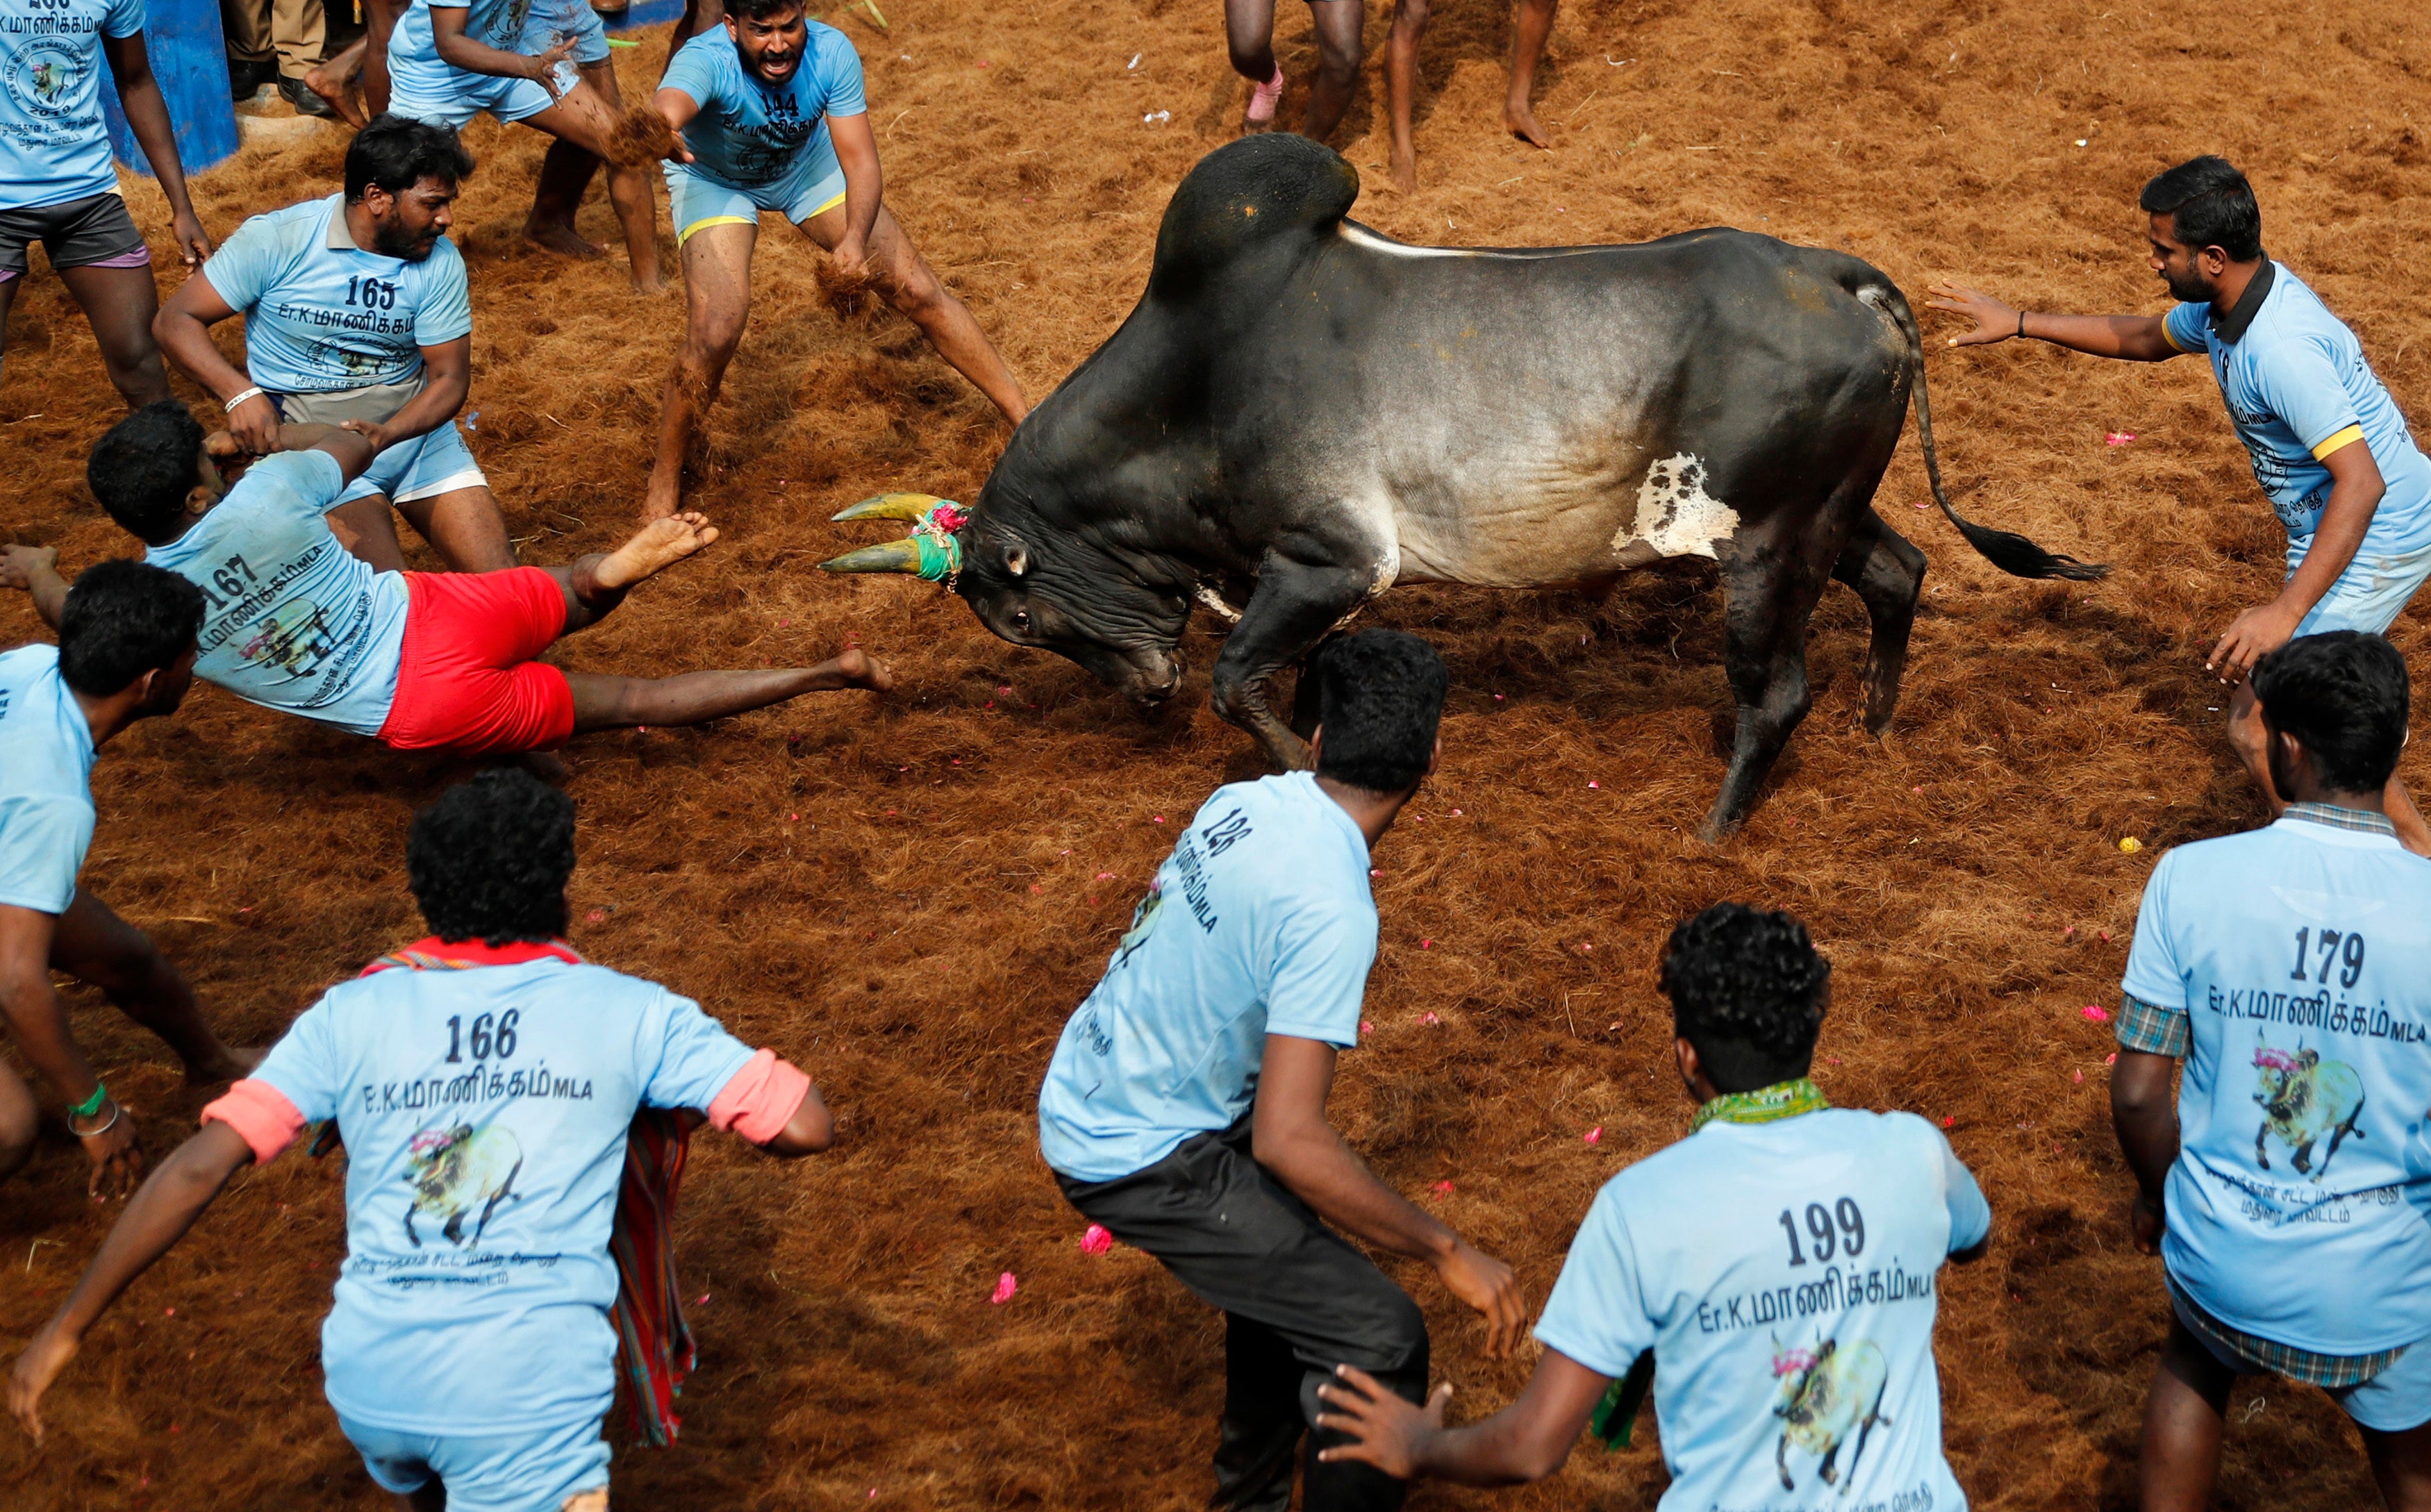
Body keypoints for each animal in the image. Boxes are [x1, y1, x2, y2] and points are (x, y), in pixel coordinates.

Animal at [822, 131, 2110, 841]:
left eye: (1020, 614)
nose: (1144, 687)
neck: (1196, 377)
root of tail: (1840, 275)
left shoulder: (1333, 558)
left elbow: (1242, 686)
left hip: (1762, 544)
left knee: (1776, 693)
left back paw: (1713, 834)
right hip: (1824, 518)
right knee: (1900, 571)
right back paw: (1877, 727)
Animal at [1779, 1342, 1886, 1497]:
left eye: (1807, 1375)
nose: (1780, 1411)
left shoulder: (1836, 1437)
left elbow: (1823, 1469)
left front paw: (1832, 1477)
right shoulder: (1787, 1436)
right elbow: (1779, 1458)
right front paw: (1788, 1484)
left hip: (1868, 1416)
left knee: (1860, 1448)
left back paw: (1845, 1487)